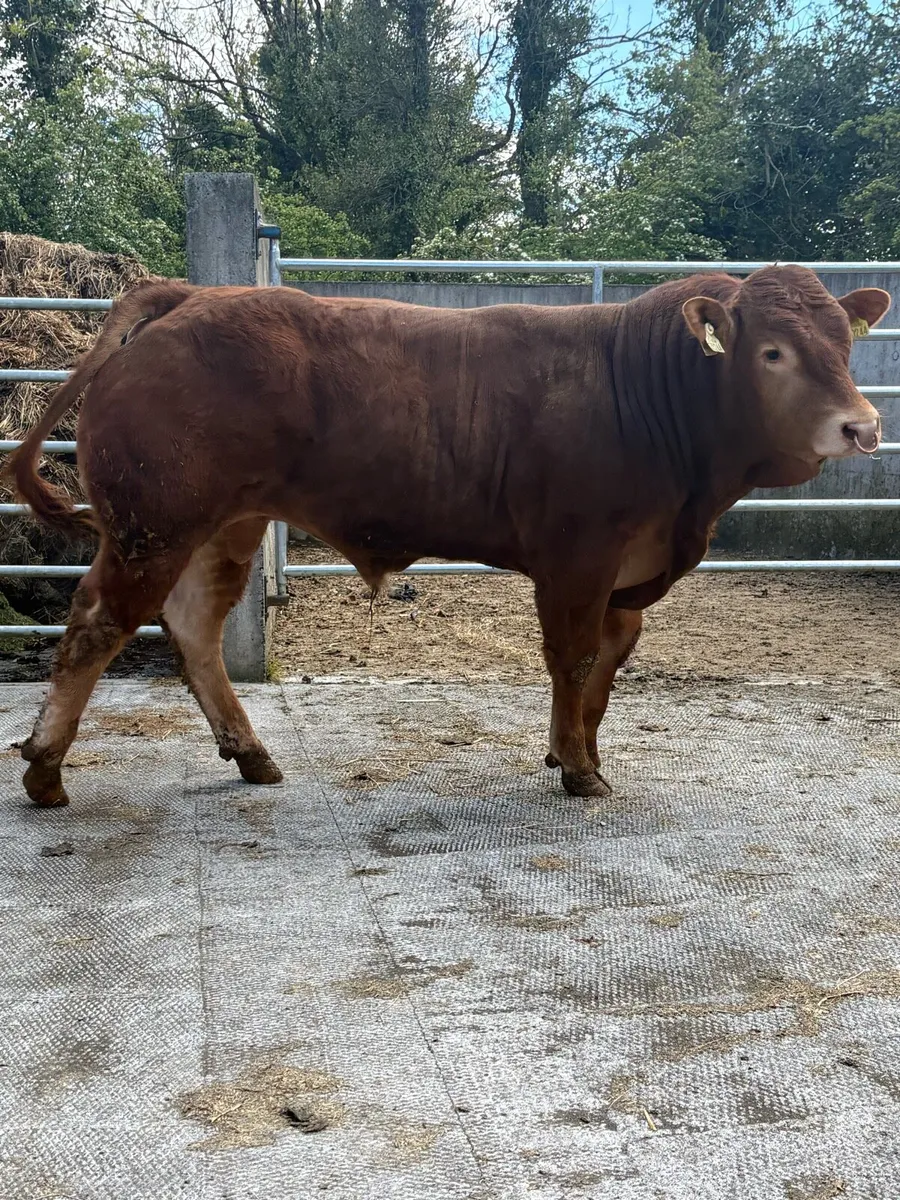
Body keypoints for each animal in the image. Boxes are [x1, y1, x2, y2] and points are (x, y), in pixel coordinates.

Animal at [5, 266, 890, 809]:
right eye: (772, 352)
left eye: (847, 345)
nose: (863, 426)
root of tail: (187, 295)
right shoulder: (576, 557)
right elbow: (572, 660)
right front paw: (576, 768)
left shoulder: (629, 573)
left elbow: (607, 669)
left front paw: (579, 751)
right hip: (151, 527)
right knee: (96, 627)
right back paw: (45, 768)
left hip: (222, 525)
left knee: (193, 627)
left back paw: (250, 753)